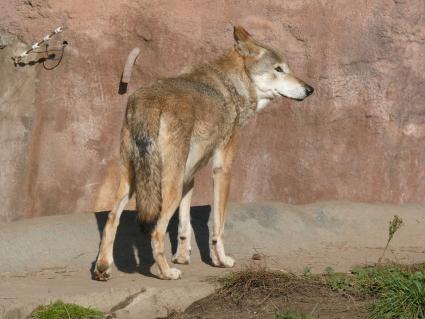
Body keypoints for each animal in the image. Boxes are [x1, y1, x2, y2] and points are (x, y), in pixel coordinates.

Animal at [97, 25, 314, 280]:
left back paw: (102, 268)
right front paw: (221, 260)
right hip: (166, 188)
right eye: (278, 69)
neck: (232, 85)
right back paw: (166, 273)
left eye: (287, 68)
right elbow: (218, 225)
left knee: (111, 219)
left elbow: (185, 224)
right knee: (156, 232)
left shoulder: (189, 177)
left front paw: (182, 257)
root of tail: (148, 101)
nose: (310, 89)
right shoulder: (223, 169)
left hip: (133, 181)